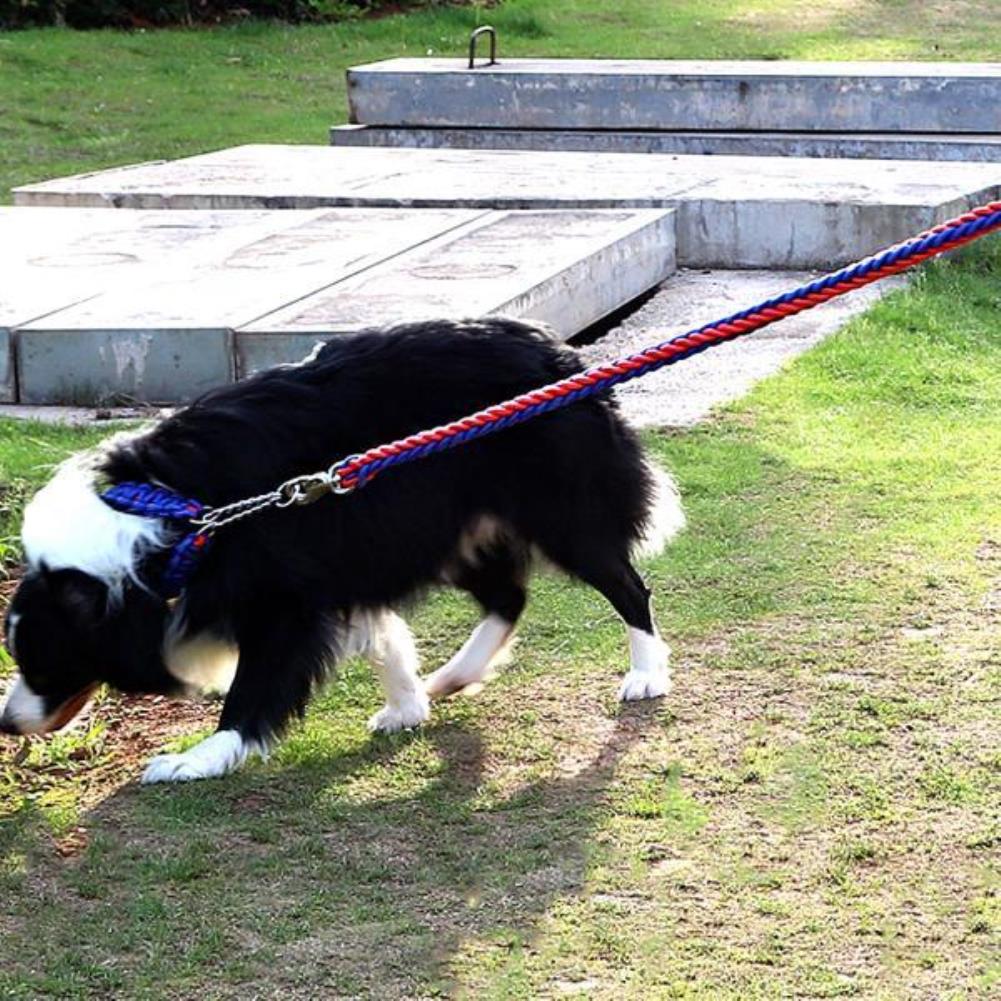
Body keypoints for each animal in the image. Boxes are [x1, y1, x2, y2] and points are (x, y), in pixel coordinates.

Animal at [0, 320, 680, 780]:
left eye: (43, 660)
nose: (7, 724)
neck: (166, 525)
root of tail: (563, 353)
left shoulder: (284, 593)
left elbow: (257, 685)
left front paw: (197, 759)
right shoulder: (341, 563)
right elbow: (381, 637)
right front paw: (407, 706)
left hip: (555, 507)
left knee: (625, 584)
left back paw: (646, 675)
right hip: (449, 526)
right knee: (507, 596)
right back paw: (451, 677)